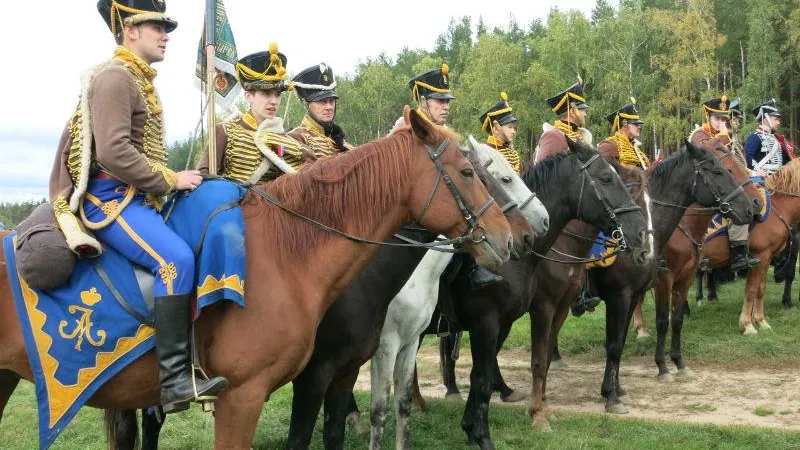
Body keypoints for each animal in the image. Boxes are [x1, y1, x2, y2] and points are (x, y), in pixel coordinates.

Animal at [368, 137, 544, 450]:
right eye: (501, 178)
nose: (527, 235)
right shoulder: (387, 344)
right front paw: (481, 435)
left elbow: (480, 375)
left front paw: (472, 428)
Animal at [432, 139, 648, 448]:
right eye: (606, 178)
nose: (641, 234)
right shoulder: (523, 314)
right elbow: (525, 364)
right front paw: (535, 416)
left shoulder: (554, 310)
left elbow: (540, 360)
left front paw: (541, 409)